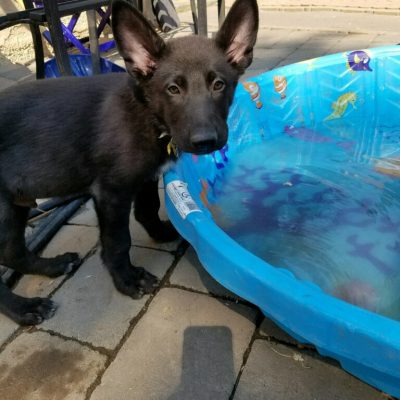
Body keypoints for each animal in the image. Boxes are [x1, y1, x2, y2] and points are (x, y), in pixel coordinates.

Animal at [0, 0, 260, 324]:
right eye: (173, 89)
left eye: (219, 85)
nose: (205, 142)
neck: (148, 114)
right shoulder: (110, 192)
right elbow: (118, 241)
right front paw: (127, 280)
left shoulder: (146, 177)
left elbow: (147, 210)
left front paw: (162, 233)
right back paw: (23, 308)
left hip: (15, 202)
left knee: (12, 252)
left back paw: (51, 266)